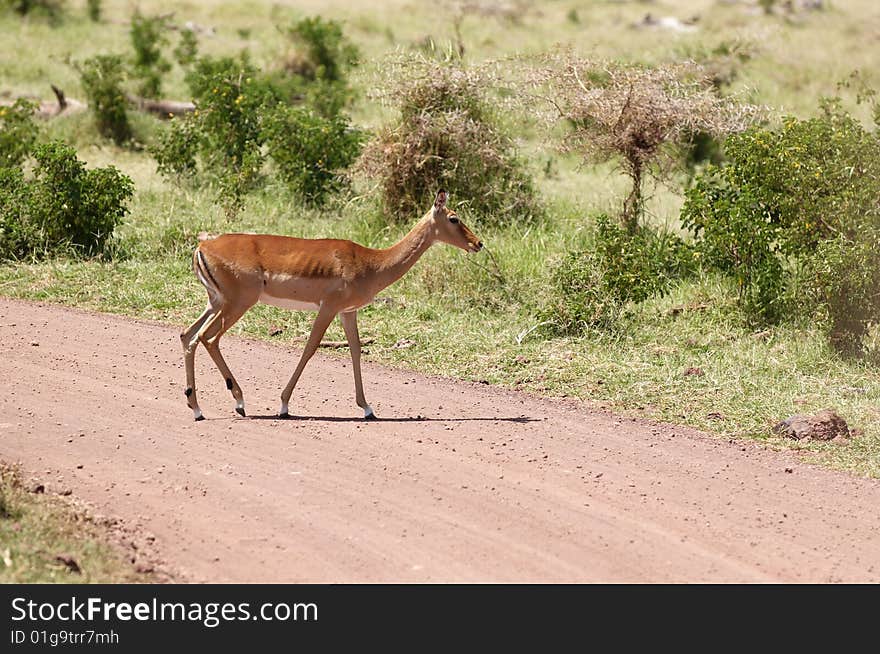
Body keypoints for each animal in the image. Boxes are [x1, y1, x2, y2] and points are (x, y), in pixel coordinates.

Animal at [179, 192, 482, 422]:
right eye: (454, 218)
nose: (478, 243)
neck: (372, 263)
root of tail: (202, 248)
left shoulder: (348, 312)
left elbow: (356, 350)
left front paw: (368, 408)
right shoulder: (329, 307)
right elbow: (310, 347)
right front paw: (284, 405)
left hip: (216, 302)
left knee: (187, 335)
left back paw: (198, 408)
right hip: (237, 304)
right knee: (207, 338)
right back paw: (236, 403)